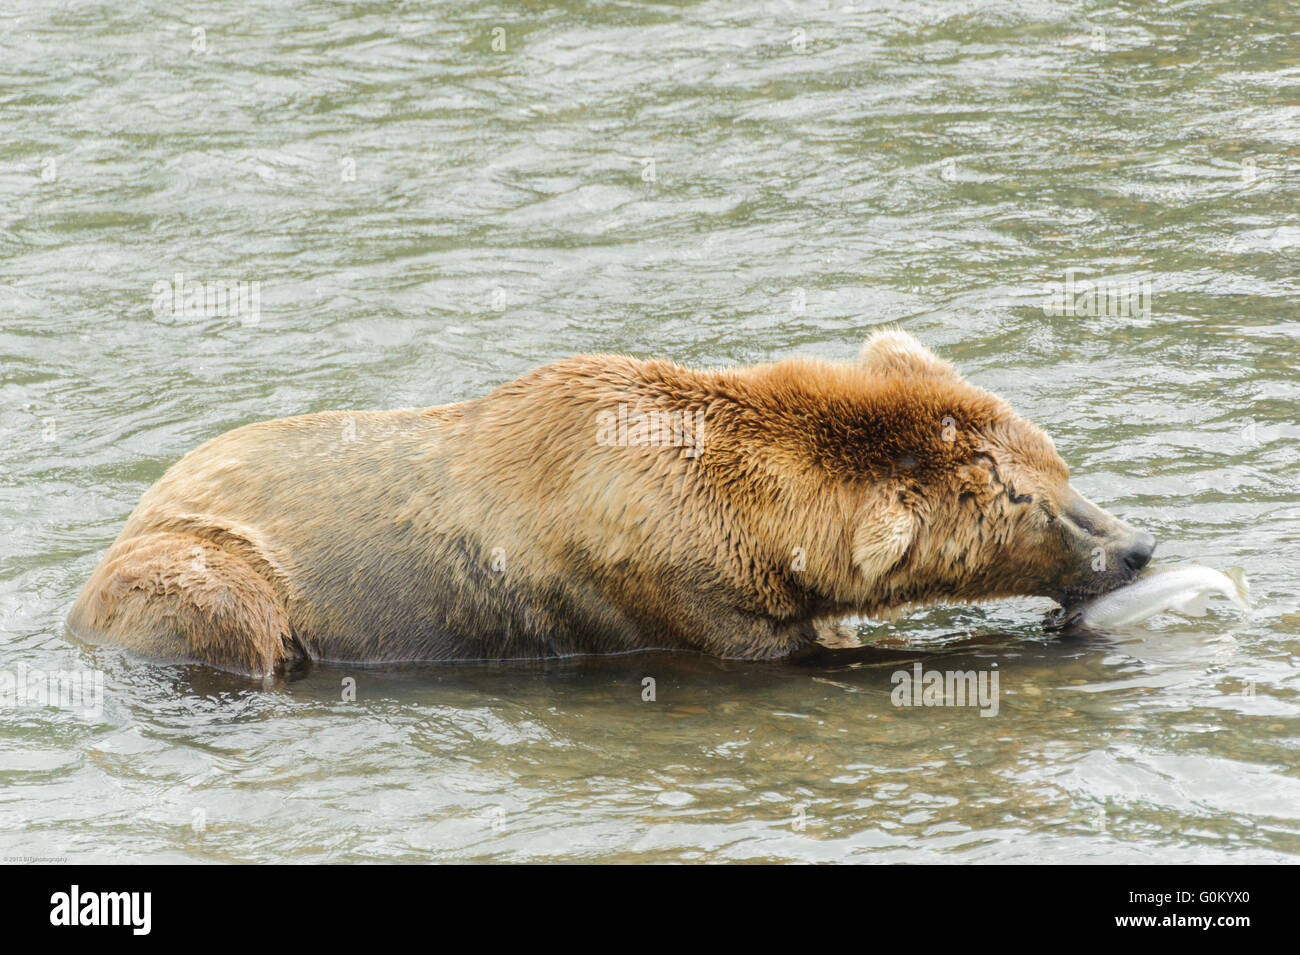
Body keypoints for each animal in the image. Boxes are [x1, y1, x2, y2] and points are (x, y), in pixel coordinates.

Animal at [67, 330, 1155, 677]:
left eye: (1058, 467)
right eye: (1030, 501)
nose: (1136, 544)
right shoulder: (662, 593)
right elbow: (783, 652)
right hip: (211, 564)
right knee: (222, 612)